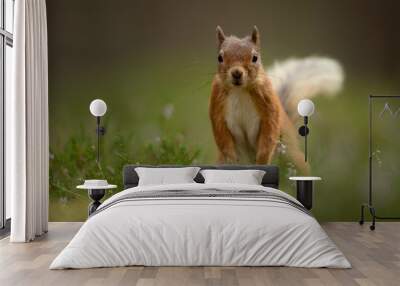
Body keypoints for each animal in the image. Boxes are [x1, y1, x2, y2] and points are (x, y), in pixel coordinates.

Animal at [209, 26, 344, 174]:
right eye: (220, 57)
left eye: (255, 58)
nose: (237, 73)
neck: (240, 91)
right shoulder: (217, 107)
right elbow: (222, 137)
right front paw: (231, 161)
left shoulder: (269, 105)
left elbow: (269, 134)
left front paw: (261, 163)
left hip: (292, 157)